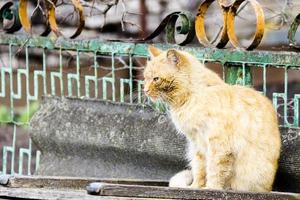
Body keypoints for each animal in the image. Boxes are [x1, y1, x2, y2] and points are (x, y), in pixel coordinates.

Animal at [145, 46, 282, 191]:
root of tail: (270, 188)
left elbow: (214, 170)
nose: (144, 90)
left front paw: (211, 188)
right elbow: (200, 169)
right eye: (145, 78)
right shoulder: (197, 144)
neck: (193, 96)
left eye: (156, 79)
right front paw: (196, 187)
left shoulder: (218, 144)